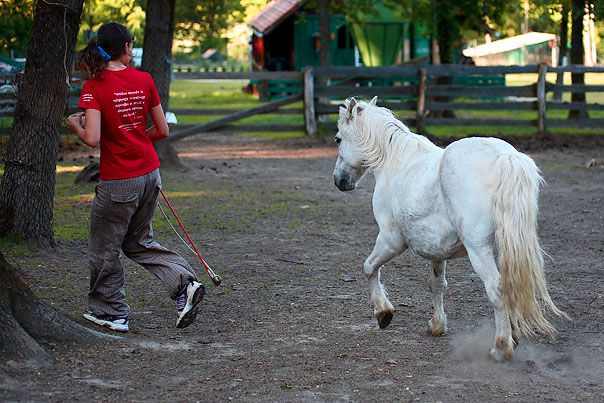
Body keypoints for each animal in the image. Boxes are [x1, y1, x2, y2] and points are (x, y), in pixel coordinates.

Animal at [332, 96, 568, 362]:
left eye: (338, 139)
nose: (339, 181)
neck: (397, 162)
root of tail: (505, 156)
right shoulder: (436, 250)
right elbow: (437, 285)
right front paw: (437, 325)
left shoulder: (391, 241)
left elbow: (369, 268)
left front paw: (383, 313)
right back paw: (513, 335)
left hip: (478, 249)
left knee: (496, 287)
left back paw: (501, 347)